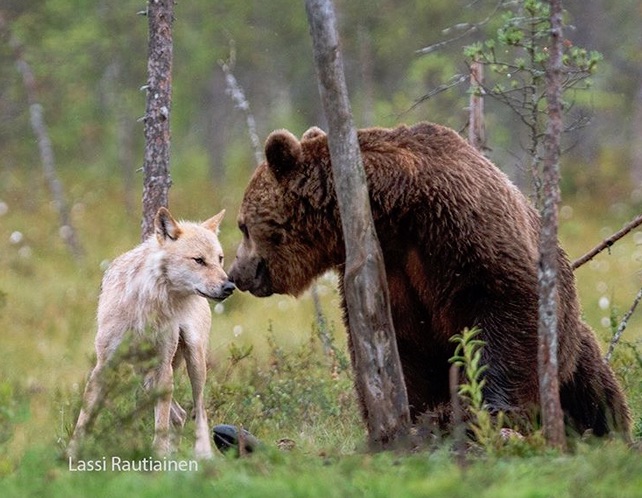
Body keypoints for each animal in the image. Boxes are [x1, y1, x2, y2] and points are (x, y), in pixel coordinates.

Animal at [66, 206, 235, 460]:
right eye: (199, 260)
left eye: (220, 259)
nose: (230, 287)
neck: (148, 302)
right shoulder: (104, 365)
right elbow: (84, 417)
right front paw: (72, 454)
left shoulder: (163, 365)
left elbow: (161, 421)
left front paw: (159, 456)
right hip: (145, 376)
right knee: (180, 415)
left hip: (193, 360)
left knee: (199, 410)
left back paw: (202, 454)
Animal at [226, 121, 632, 440]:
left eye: (243, 225)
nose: (236, 274)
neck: (393, 206)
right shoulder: (387, 272)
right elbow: (399, 349)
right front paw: (413, 417)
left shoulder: (463, 226)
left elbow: (506, 305)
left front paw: (486, 409)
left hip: (572, 344)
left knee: (594, 389)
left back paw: (603, 431)